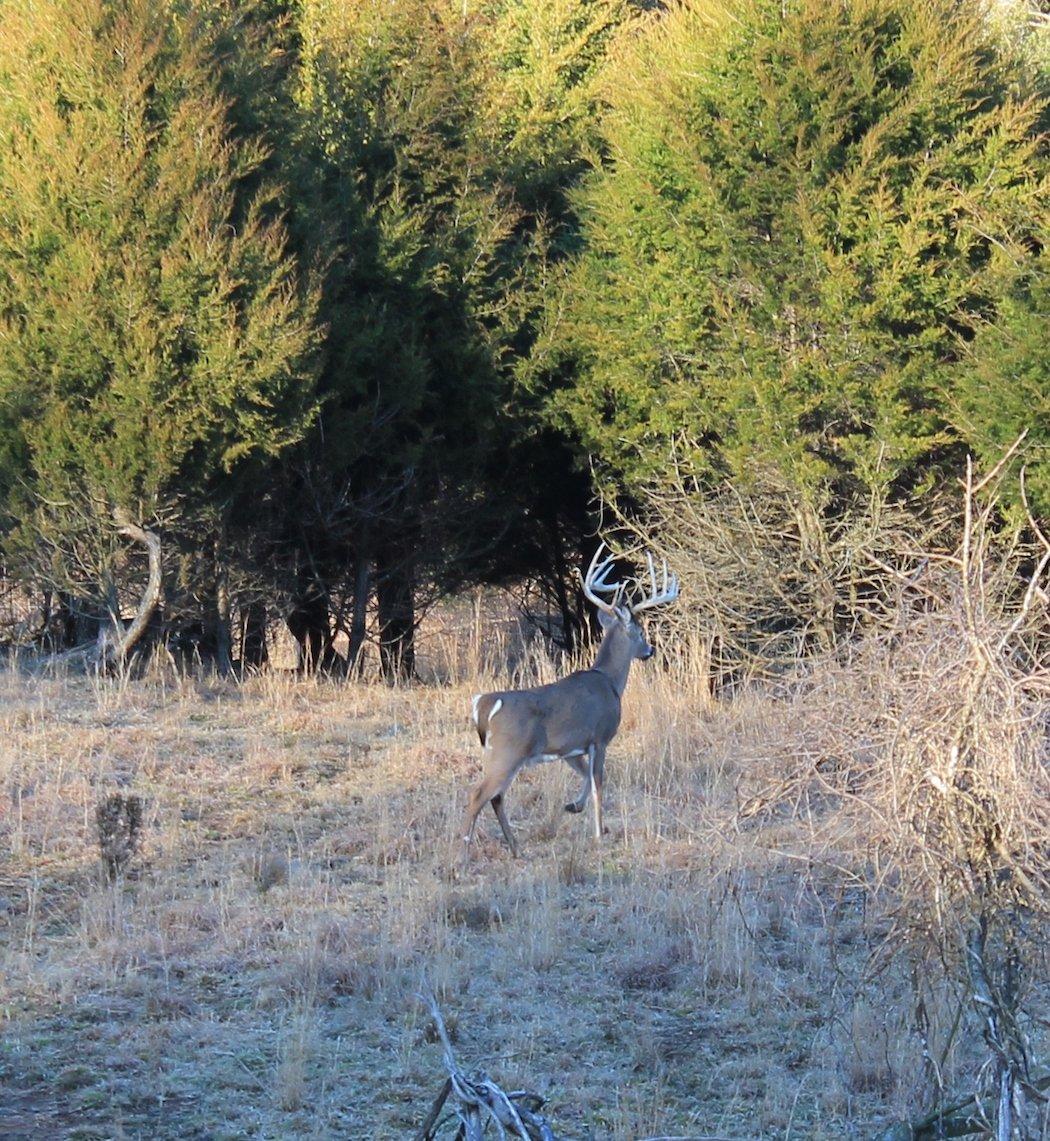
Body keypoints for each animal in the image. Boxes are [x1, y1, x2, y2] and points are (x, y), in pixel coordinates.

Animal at [461, 543, 680, 858]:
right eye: (640, 633)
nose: (649, 650)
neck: (610, 681)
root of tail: (484, 704)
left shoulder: (571, 748)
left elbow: (586, 777)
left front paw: (574, 806)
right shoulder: (600, 736)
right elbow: (599, 782)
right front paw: (599, 833)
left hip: (498, 753)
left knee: (496, 797)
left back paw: (515, 848)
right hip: (507, 751)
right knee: (478, 794)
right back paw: (463, 853)